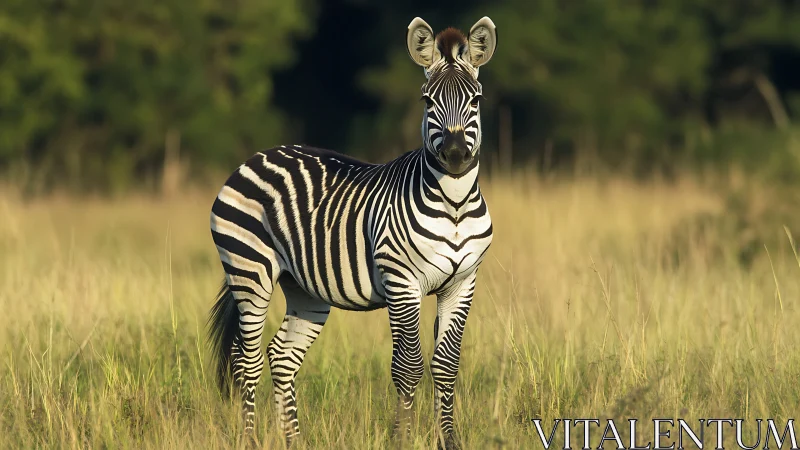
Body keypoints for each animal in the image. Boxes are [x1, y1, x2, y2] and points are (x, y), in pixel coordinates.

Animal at [208, 16, 497, 449]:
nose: (456, 154)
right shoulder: (402, 281)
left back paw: (294, 441)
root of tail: (259, 155)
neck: (455, 205)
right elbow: (408, 366)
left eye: (476, 100)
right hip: (249, 270)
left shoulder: (462, 283)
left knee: (282, 356)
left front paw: (449, 442)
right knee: (248, 359)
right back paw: (249, 439)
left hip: (303, 288)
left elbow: (446, 366)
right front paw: (402, 440)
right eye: (427, 102)